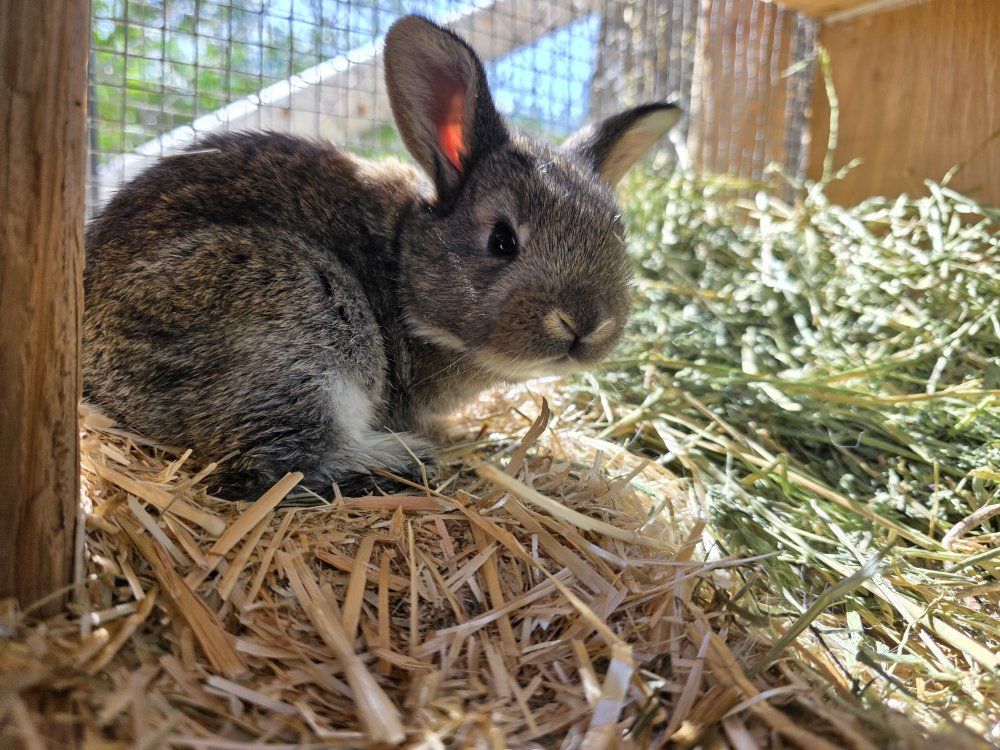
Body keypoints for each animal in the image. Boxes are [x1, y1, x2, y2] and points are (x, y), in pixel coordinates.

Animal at [82, 14, 681, 500]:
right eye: (503, 240)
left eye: (617, 236)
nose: (585, 324)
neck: (400, 262)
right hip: (301, 311)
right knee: (274, 469)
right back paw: (400, 461)